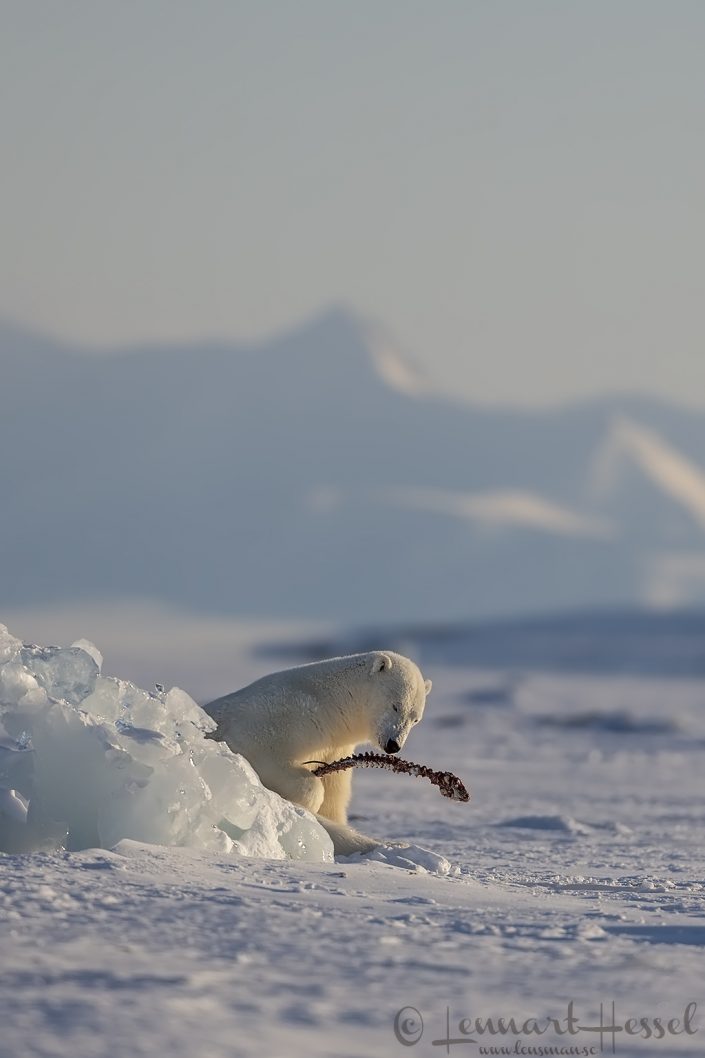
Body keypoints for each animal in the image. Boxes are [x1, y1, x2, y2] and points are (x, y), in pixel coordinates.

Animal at [203, 650, 432, 856]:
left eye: (415, 719)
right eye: (395, 706)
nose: (394, 745)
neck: (329, 702)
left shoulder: (335, 746)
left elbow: (334, 794)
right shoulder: (275, 721)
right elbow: (260, 756)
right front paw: (306, 804)